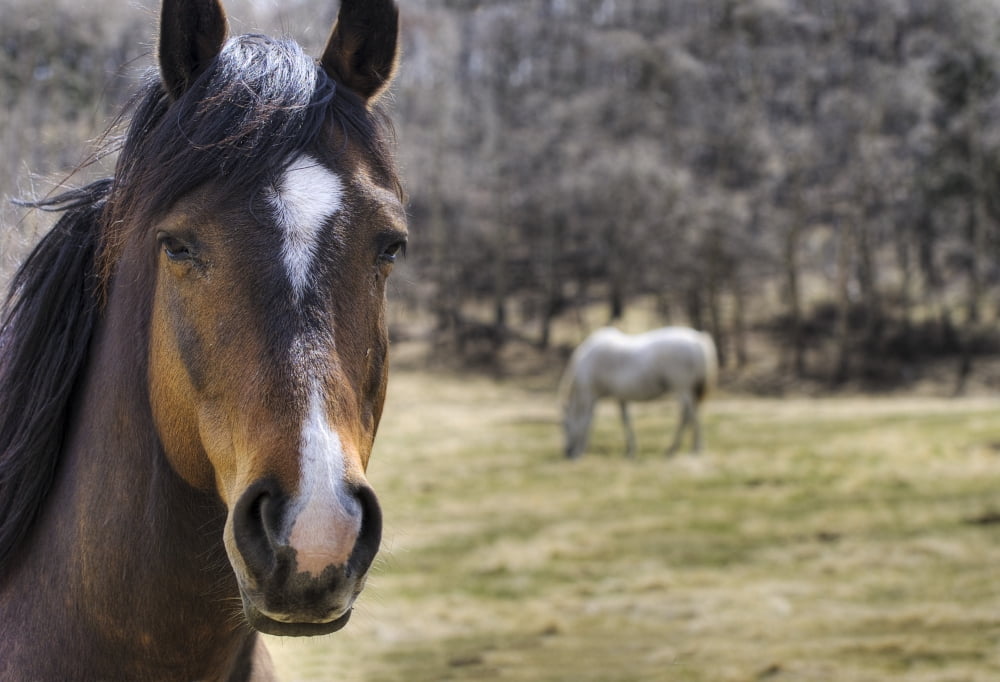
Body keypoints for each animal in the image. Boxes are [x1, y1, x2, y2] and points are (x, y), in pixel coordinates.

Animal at [560, 327, 718, 460]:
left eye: (565, 426)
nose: (567, 452)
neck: (586, 362)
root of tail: (697, 338)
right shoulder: (620, 397)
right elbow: (625, 420)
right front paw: (630, 450)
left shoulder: (590, 395)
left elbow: (587, 421)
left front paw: (579, 451)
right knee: (687, 415)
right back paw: (674, 448)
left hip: (682, 388)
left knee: (691, 415)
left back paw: (694, 448)